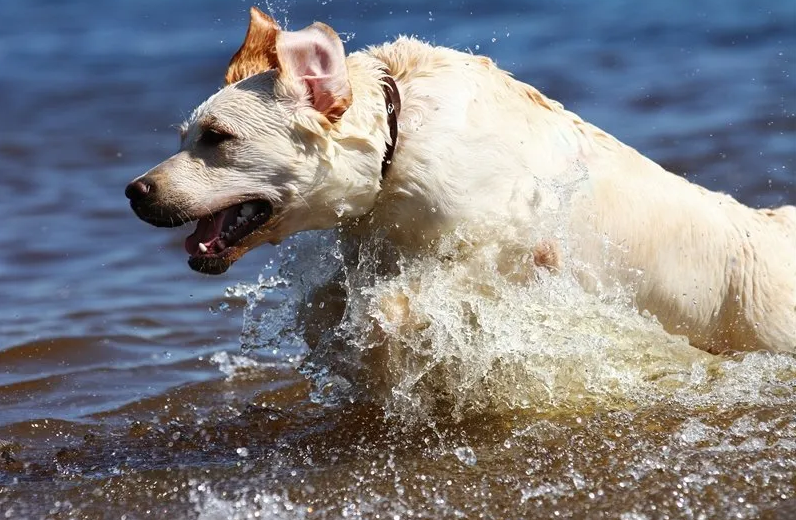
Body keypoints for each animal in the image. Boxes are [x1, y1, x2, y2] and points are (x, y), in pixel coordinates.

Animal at [127, 7, 792, 354]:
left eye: (218, 138)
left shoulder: (510, 244)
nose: (134, 191)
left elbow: (407, 301)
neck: (397, 144)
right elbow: (333, 304)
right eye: (184, 137)